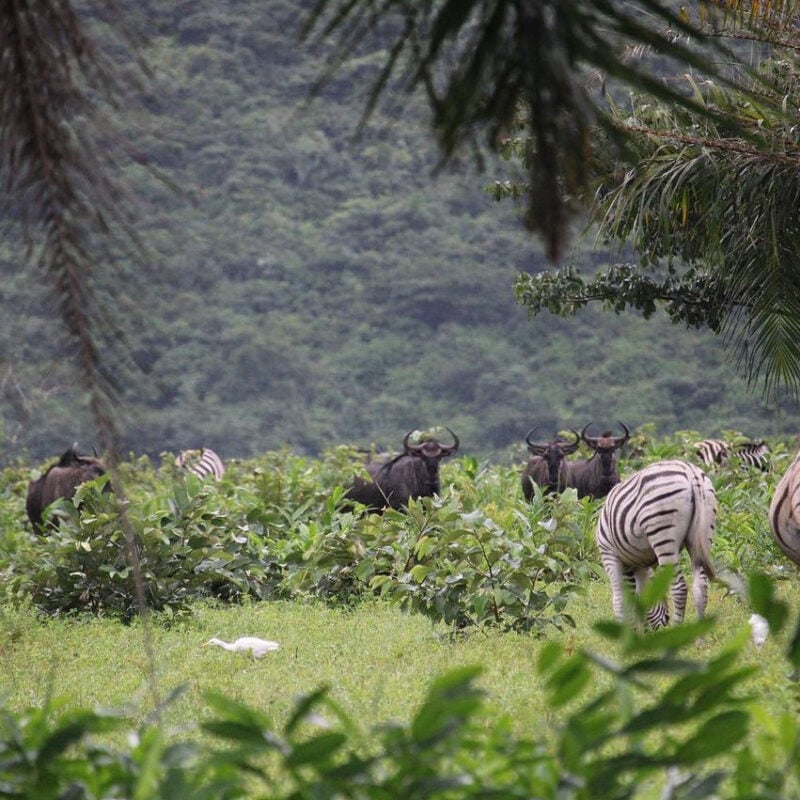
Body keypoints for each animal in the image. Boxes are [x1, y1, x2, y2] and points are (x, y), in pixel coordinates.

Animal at [592, 460, 720, 628]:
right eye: (665, 618)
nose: (665, 624)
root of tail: (690, 471)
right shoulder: (640, 565)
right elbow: (641, 599)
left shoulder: (609, 555)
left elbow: (620, 602)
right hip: (703, 534)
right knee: (701, 585)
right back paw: (699, 632)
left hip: (662, 533)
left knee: (679, 588)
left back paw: (677, 630)